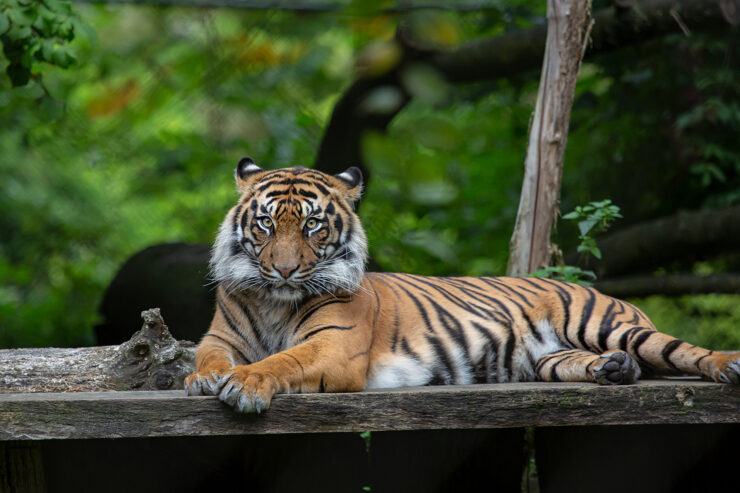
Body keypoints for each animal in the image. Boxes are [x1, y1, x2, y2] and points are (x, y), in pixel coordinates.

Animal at [184, 158, 740, 412]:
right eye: (265, 224)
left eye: (313, 226)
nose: (282, 270)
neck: (275, 302)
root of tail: (607, 294)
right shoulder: (222, 337)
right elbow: (207, 357)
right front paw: (203, 380)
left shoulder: (333, 346)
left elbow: (282, 360)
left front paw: (245, 384)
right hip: (549, 358)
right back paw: (612, 370)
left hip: (609, 325)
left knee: (682, 350)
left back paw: (726, 365)